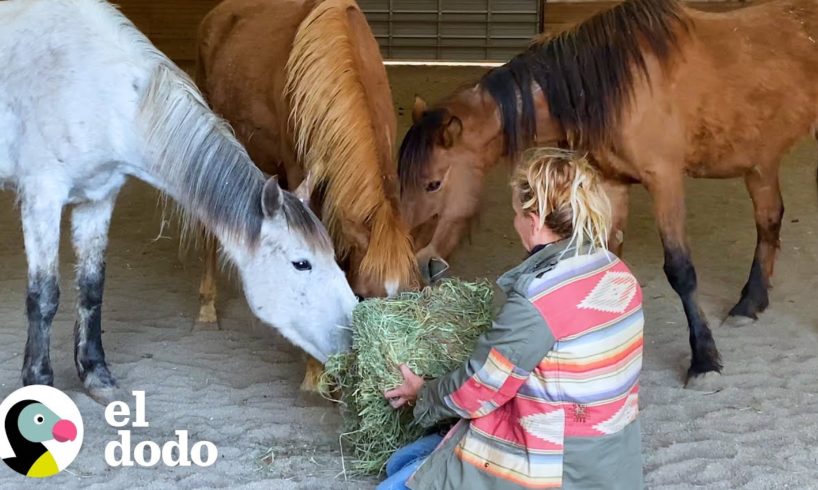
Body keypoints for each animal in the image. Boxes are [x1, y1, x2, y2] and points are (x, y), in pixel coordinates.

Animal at [0, 0, 356, 402]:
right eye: (301, 263)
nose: (353, 336)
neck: (94, 88)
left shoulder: (98, 198)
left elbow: (92, 287)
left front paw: (96, 376)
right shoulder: (41, 196)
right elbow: (44, 296)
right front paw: (38, 382)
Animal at [398, 0, 816, 382]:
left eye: (433, 183)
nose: (414, 265)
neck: (614, 85)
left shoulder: (664, 181)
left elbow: (681, 270)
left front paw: (704, 359)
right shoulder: (613, 182)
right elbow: (607, 257)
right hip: (759, 166)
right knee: (769, 221)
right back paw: (750, 303)